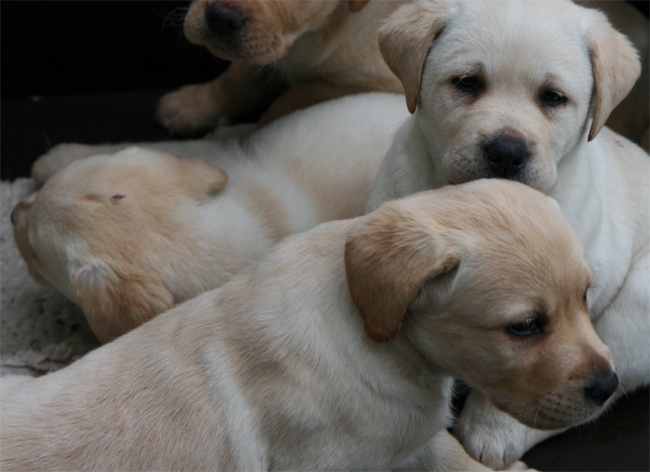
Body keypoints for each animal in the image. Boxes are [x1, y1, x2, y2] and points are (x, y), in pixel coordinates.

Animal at [153, 0, 404, 135]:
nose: (222, 18)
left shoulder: (382, 83)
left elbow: (291, 99)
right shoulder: (262, 50)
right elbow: (236, 81)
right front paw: (192, 106)